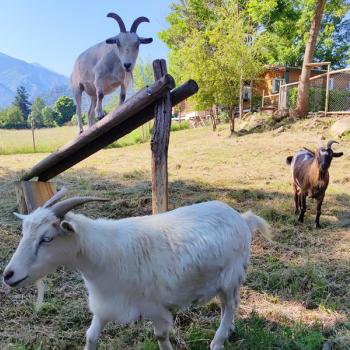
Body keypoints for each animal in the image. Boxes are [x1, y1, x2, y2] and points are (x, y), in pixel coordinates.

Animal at [3, 189, 270, 350]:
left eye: (46, 238)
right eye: (23, 233)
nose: (8, 275)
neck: (105, 255)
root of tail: (241, 217)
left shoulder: (155, 307)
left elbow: (161, 337)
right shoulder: (105, 304)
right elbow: (90, 336)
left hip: (231, 276)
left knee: (231, 305)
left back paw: (218, 341)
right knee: (226, 306)